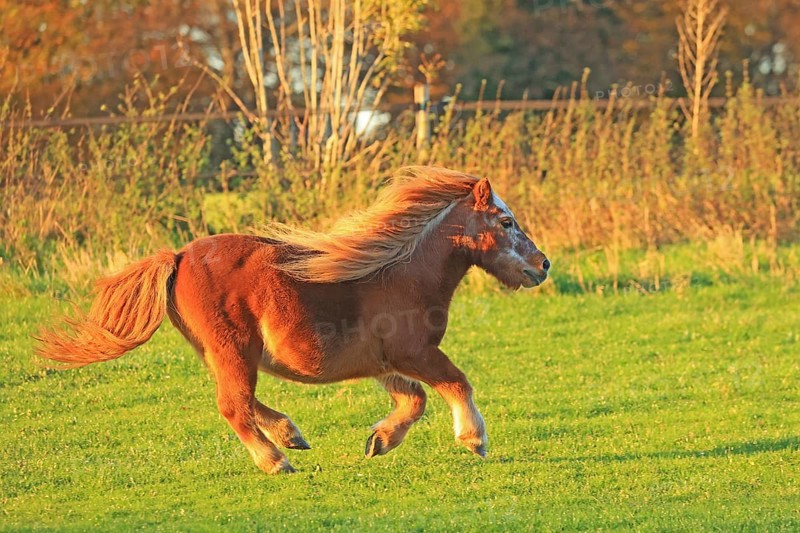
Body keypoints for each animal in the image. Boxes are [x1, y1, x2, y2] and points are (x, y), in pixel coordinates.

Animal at [36, 166, 550, 474]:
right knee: (234, 406)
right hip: (233, 350)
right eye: (505, 222)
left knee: (242, 401)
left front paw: (379, 441)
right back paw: (276, 460)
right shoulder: (416, 352)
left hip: (222, 354)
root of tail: (178, 256)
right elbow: (457, 383)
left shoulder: (387, 364)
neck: (404, 271)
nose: (542, 265)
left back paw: (290, 434)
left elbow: (416, 400)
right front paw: (473, 440)